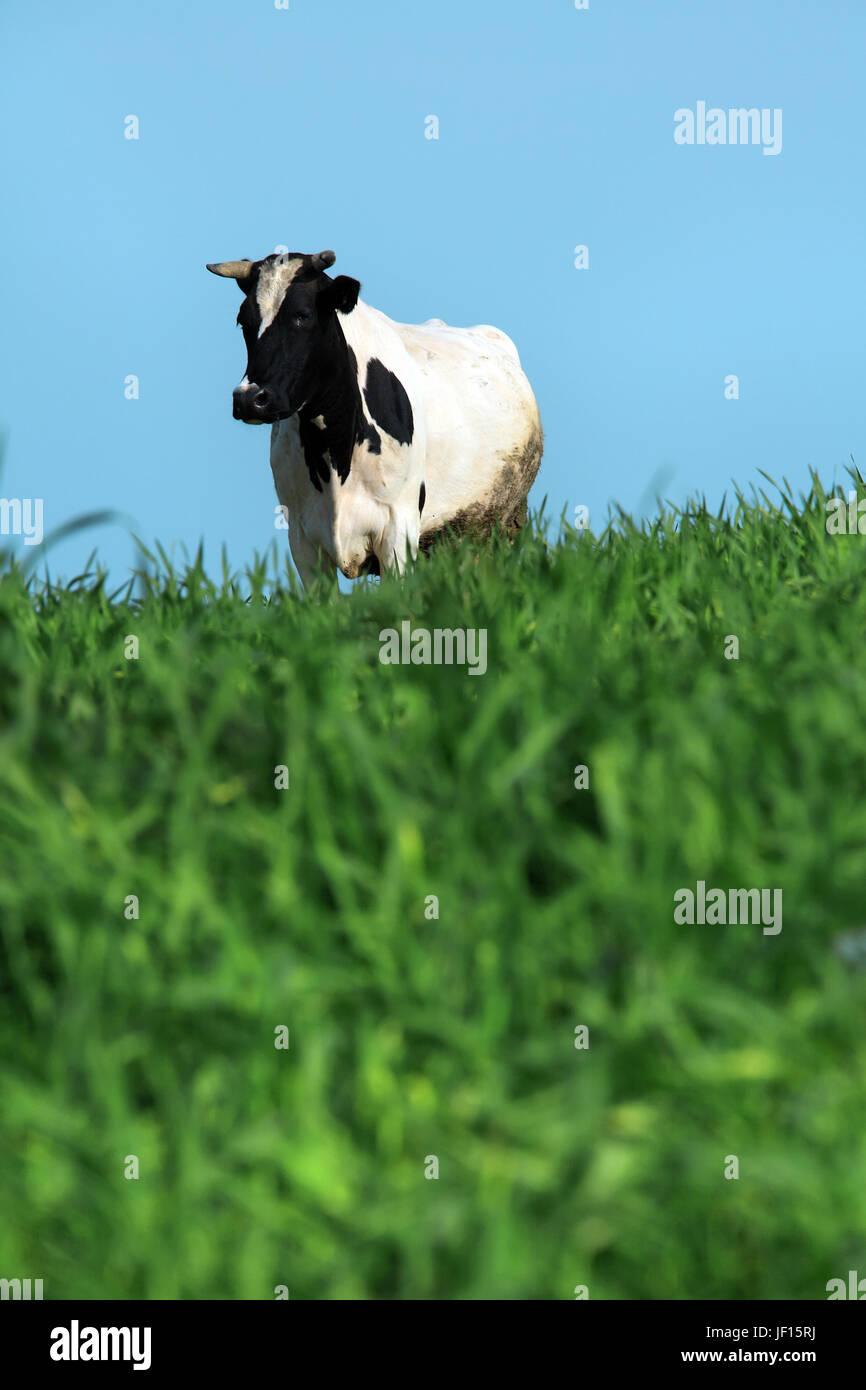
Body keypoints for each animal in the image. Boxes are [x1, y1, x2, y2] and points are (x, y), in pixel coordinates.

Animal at [206, 249, 542, 588]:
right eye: (242, 320)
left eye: (303, 315)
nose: (249, 398)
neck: (336, 453)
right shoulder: (301, 538)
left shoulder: (398, 530)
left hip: (507, 521)